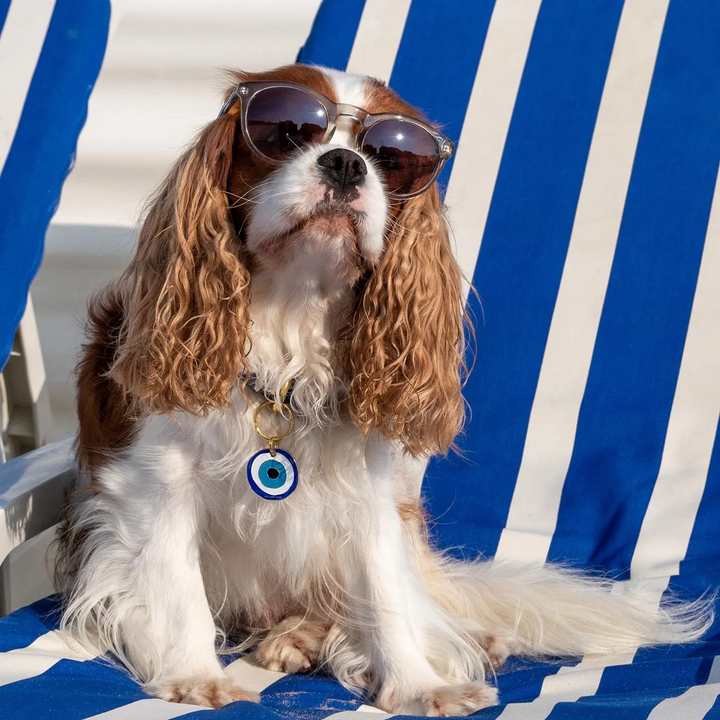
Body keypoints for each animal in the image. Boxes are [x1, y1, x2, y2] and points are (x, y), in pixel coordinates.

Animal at [53, 66, 712, 716]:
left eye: (391, 156)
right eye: (286, 130)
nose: (346, 163)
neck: (292, 316)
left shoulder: (370, 496)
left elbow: (386, 595)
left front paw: (420, 685)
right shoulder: (157, 484)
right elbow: (177, 583)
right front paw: (194, 675)